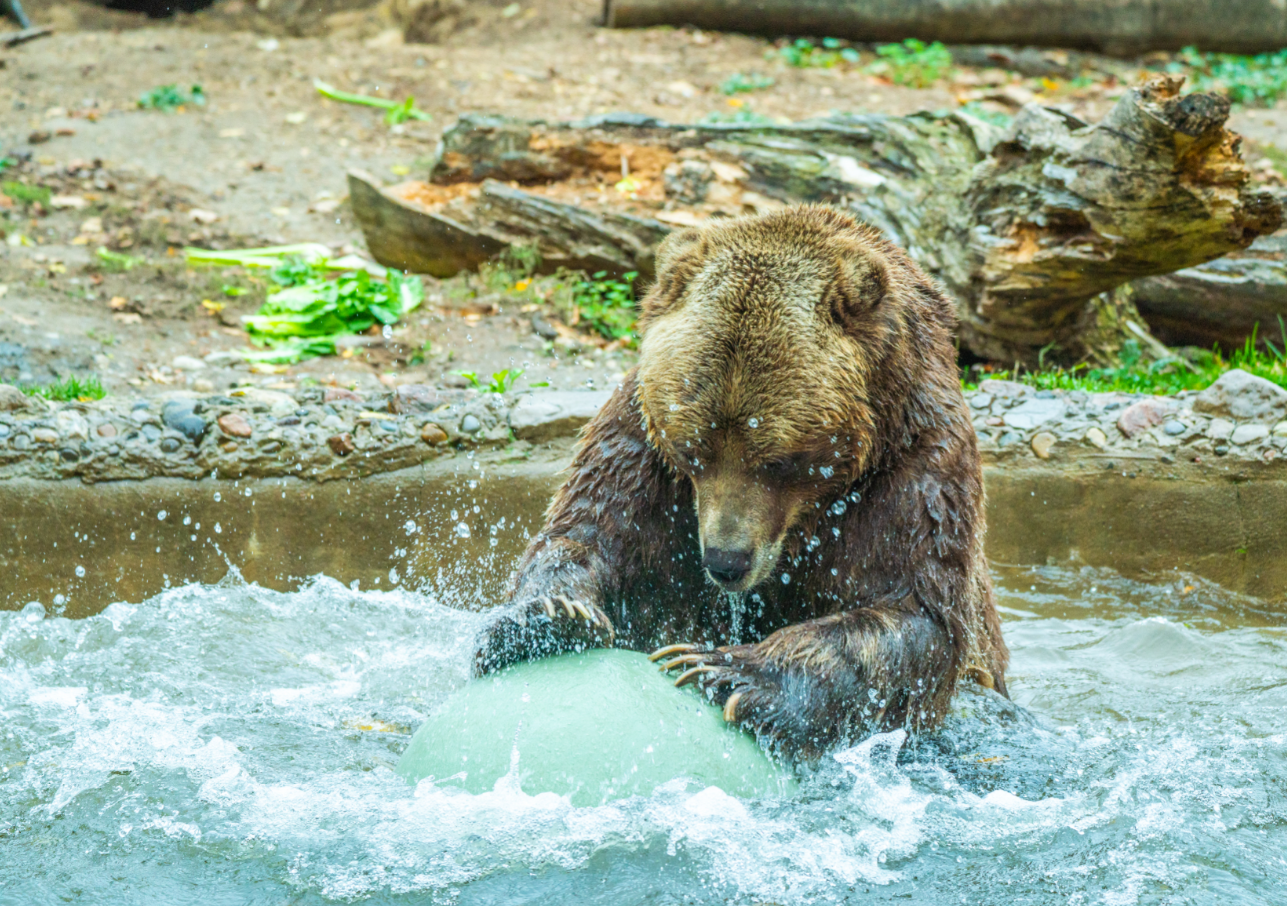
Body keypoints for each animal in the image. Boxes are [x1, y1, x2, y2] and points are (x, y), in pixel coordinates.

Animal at [473, 205, 1009, 762]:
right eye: (694, 450)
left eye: (777, 461)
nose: (726, 561)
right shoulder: (642, 446)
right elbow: (586, 534)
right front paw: (548, 617)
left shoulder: (915, 472)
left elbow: (912, 615)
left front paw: (726, 671)